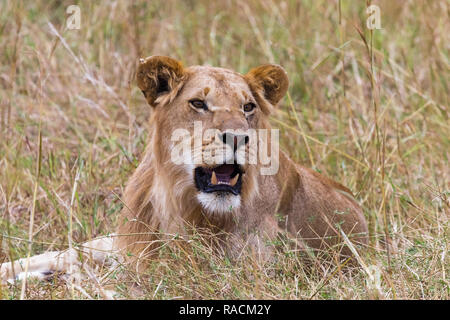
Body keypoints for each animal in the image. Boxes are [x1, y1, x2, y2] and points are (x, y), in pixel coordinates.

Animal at [0, 55, 368, 284]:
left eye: (248, 107)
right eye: (198, 103)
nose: (239, 137)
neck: (177, 201)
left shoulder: (238, 271)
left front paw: (56, 279)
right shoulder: (130, 246)